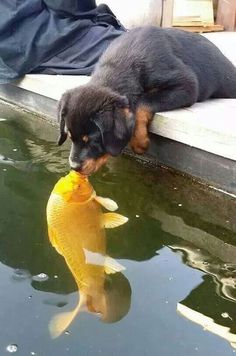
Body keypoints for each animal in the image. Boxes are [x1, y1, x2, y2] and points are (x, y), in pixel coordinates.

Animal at [57, 25, 236, 175]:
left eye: (93, 141)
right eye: (70, 136)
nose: (74, 167)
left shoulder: (187, 85)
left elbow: (143, 102)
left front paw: (139, 142)